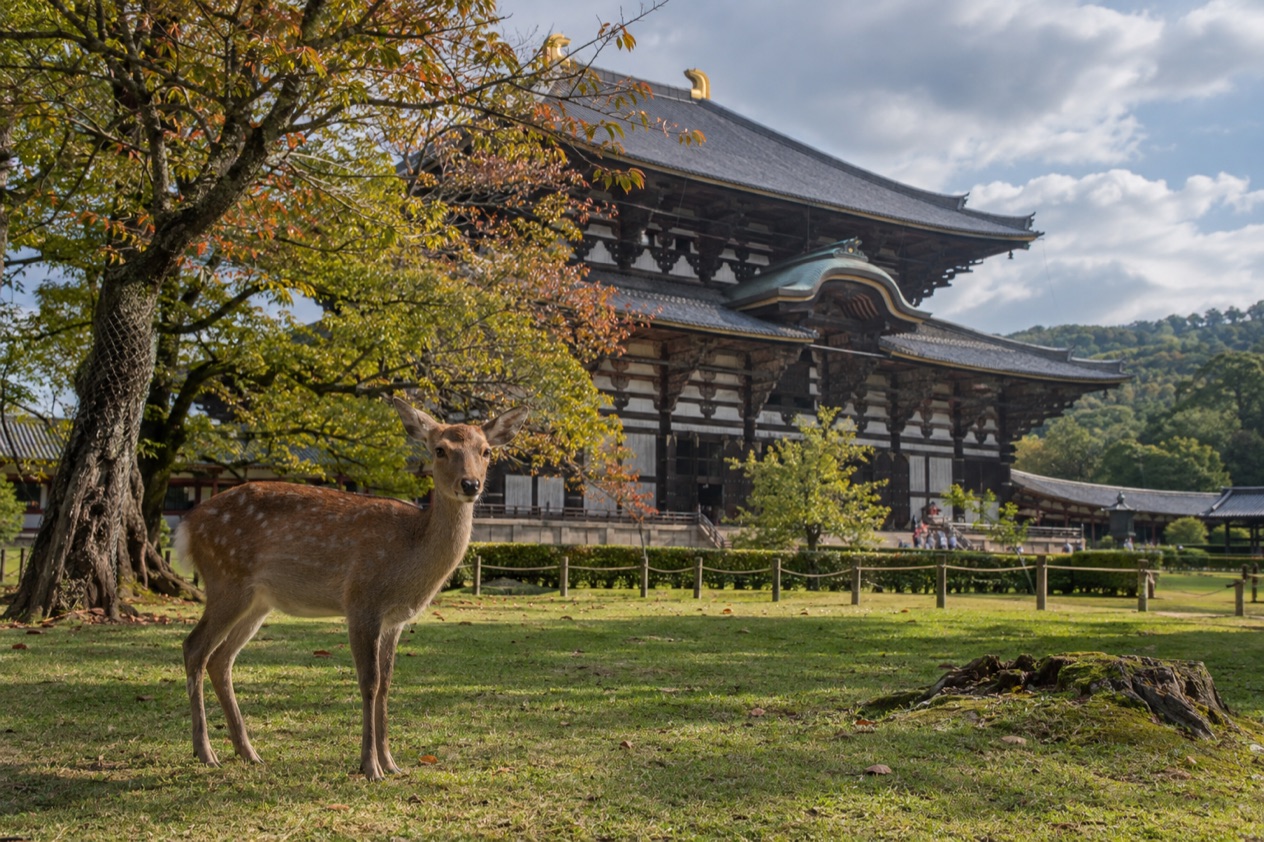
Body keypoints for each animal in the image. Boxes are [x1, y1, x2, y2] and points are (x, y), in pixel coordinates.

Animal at [177, 397, 527, 781]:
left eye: (486, 451)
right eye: (440, 449)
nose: (470, 484)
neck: (409, 553)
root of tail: (187, 526)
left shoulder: (395, 620)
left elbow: (387, 683)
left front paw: (392, 763)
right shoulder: (361, 600)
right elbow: (369, 681)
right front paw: (370, 766)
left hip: (257, 601)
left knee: (220, 658)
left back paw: (248, 752)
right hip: (226, 579)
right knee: (194, 647)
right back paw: (205, 752)